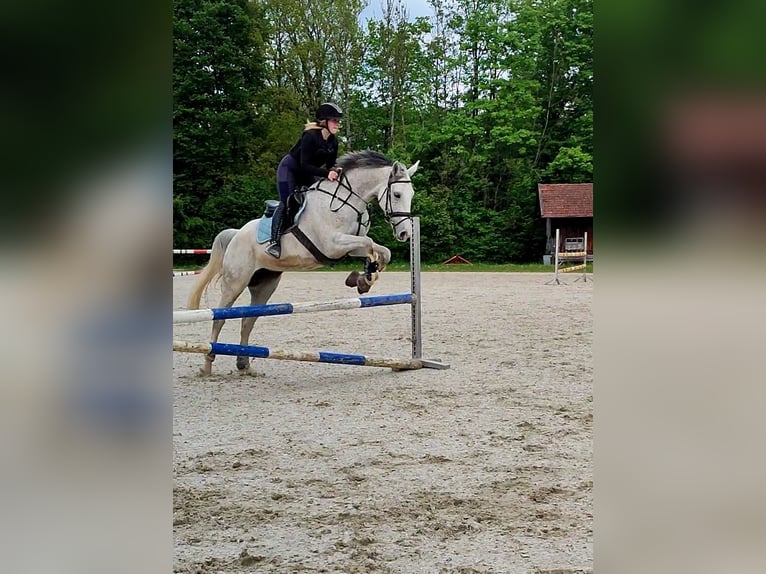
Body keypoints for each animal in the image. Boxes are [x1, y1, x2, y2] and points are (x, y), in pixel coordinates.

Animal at [185, 150, 420, 375]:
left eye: (411, 195)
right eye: (397, 194)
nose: (405, 233)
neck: (346, 201)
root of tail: (236, 234)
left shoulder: (350, 247)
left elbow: (382, 251)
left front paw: (364, 278)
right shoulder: (333, 245)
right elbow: (370, 244)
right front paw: (364, 277)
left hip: (265, 285)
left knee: (248, 320)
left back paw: (244, 365)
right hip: (235, 282)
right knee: (220, 318)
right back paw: (207, 365)